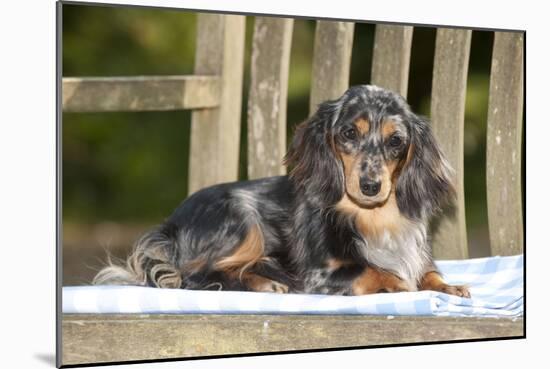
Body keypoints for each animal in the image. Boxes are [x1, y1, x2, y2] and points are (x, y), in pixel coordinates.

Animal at [94, 84, 470, 296]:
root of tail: (170, 224)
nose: (370, 186)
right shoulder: (321, 273)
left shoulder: (416, 253)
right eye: (349, 133)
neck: (375, 218)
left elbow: (428, 272)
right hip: (241, 218)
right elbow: (373, 269)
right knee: (195, 275)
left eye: (396, 141)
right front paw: (398, 281)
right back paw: (265, 283)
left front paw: (448, 286)